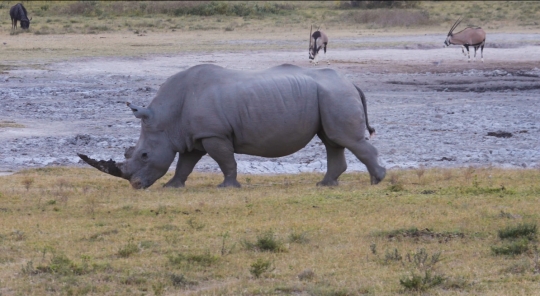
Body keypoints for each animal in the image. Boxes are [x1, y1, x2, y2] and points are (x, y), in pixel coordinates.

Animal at [79, 63, 384, 188]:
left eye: (143, 155)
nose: (135, 186)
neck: (166, 119)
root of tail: (350, 82)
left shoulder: (214, 134)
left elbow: (226, 161)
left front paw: (227, 187)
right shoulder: (193, 136)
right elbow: (184, 164)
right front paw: (172, 187)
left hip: (335, 95)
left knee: (345, 139)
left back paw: (376, 181)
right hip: (328, 96)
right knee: (332, 140)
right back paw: (325, 184)